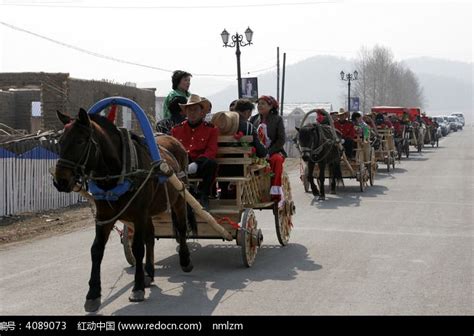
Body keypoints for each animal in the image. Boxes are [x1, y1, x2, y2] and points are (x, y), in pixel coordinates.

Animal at [54, 108, 195, 312]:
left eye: (80, 141)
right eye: (60, 141)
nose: (60, 181)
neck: (118, 172)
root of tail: (175, 142)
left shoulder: (139, 214)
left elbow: (137, 248)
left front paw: (137, 289)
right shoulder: (104, 216)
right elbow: (96, 249)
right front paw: (93, 294)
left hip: (178, 198)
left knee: (182, 229)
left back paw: (185, 261)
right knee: (150, 237)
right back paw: (149, 273)